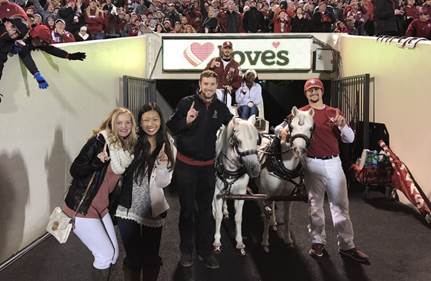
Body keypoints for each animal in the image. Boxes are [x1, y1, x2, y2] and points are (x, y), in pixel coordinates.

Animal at [213, 115, 262, 255]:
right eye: (238, 141)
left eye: (257, 140)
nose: (255, 170)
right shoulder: (218, 191)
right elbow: (218, 216)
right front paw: (217, 241)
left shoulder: (241, 194)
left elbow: (238, 217)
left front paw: (240, 242)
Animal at [256, 106, 314, 250]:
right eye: (291, 127)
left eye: (311, 128)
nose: (298, 149)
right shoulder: (269, 194)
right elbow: (267, 216)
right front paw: (265, 241)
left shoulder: (288, 196)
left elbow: (287, 217)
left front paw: (288, 239)